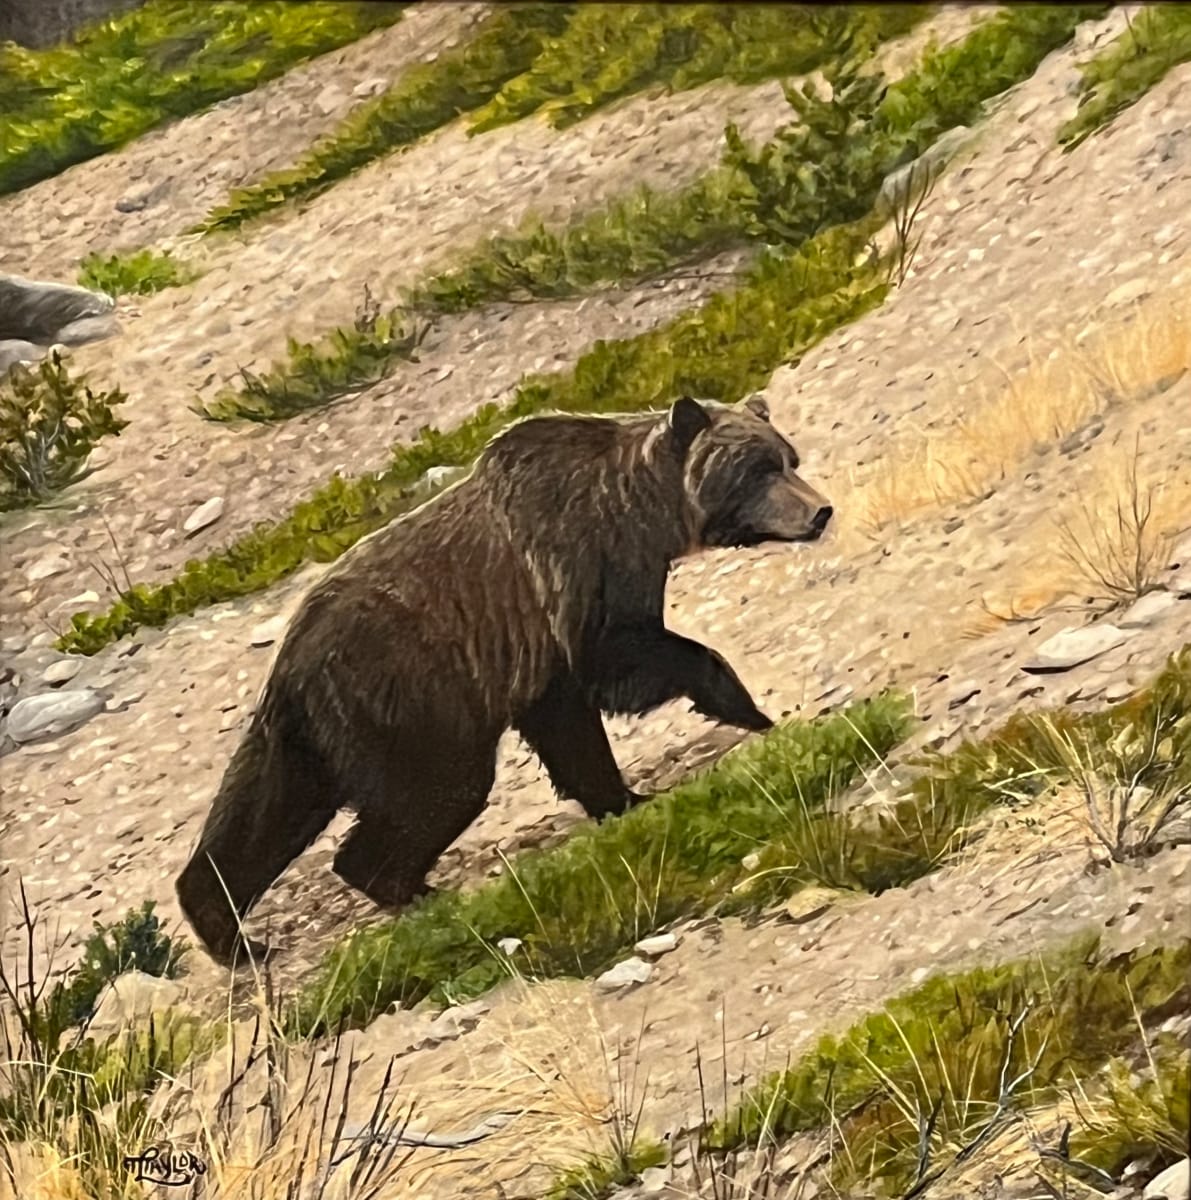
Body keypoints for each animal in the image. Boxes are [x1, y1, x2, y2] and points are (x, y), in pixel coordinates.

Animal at [176, 396, 830, 964]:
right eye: (757, 468)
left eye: (788, 458)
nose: (821, 511)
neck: (641, 513)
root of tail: (290, 662)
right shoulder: (572, 570)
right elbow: (621, 658)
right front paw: (746, 707)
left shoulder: (540, 658)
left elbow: (570, 729)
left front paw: (625, 797)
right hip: (410, 698)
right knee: (440, 790)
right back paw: (410, 887)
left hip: (315, 733)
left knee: (265, 808)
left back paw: (229, 931)